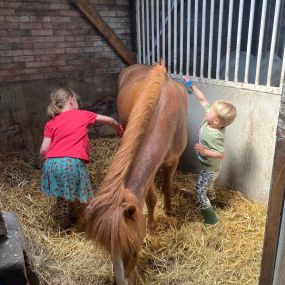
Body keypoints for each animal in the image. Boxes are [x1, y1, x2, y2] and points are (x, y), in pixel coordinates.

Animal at [85, 62, 186, 284]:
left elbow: (167, 188)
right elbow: (150, 198)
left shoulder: (173, 161)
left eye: (131, 245)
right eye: (108, 249)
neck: (164, 110)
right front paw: (151, 227)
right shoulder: (150, 170)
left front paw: (168, 212)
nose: (123, 281)